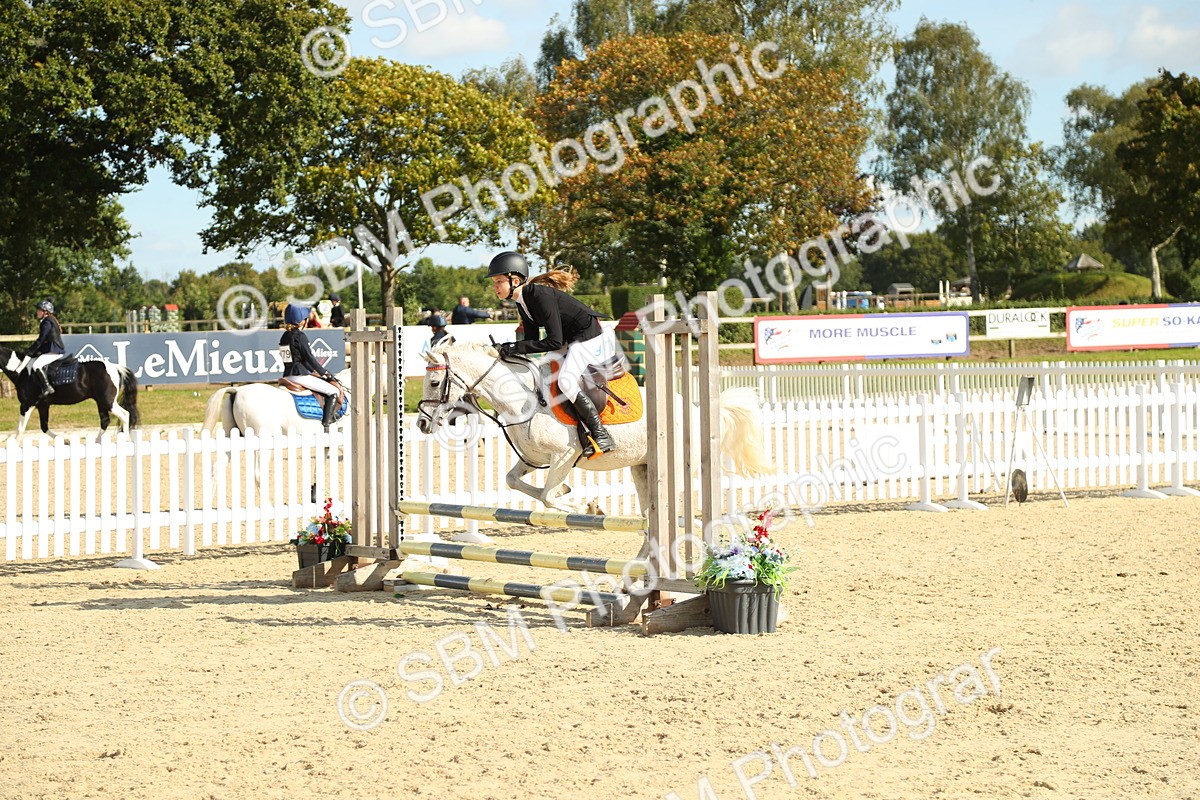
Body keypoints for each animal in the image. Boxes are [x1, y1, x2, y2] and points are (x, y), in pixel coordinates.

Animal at [0, 346, 139, 441]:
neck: (22, 371)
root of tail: (115, 367)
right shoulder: (43, 406)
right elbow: (44, 427)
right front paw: (64, 441)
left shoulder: (26, 405)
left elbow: (20, 430)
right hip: (101, 402)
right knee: (105, 421)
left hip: (107, 401)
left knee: (125, 415)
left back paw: (127, 440)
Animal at [416, 340, 771, 513]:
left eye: (433, 382)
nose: (421, 423)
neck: (520, 398)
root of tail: (695, 408)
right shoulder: (533, 458)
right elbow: (515, 482)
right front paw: (569, 492)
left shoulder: (564, 455)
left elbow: (548, 497)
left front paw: (588, 505)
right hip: (642, 467)